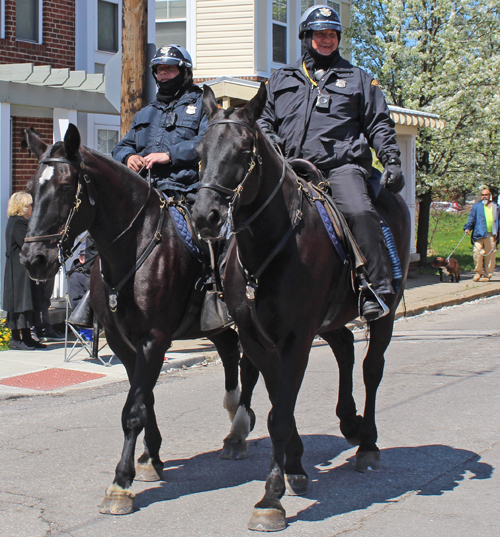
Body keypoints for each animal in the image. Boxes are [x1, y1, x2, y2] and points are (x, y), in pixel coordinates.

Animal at [20, 124, 258, 516]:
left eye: (67, 186)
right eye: (31, 187)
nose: (33, 259)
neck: (134, 246)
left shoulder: (154, 339)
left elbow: (133, 408)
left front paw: (121, 483)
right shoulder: (122, 341)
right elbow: (144, 398)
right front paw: (150, 458)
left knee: (249, 364)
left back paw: (239, 428)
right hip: (212, 324)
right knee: (228, 352)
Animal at [191, 84, 410, 532]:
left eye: (244, 151)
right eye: (201, 150)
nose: (206, 216)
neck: (269, 247)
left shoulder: (296, 338)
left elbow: (280, 413)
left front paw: (270, 497)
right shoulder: (257, 340)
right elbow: (279, 405)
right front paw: (293, 466)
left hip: (383, 316)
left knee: (371, 369)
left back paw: (367, 442)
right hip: (328, 321)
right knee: (344, 349)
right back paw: (348, 420)